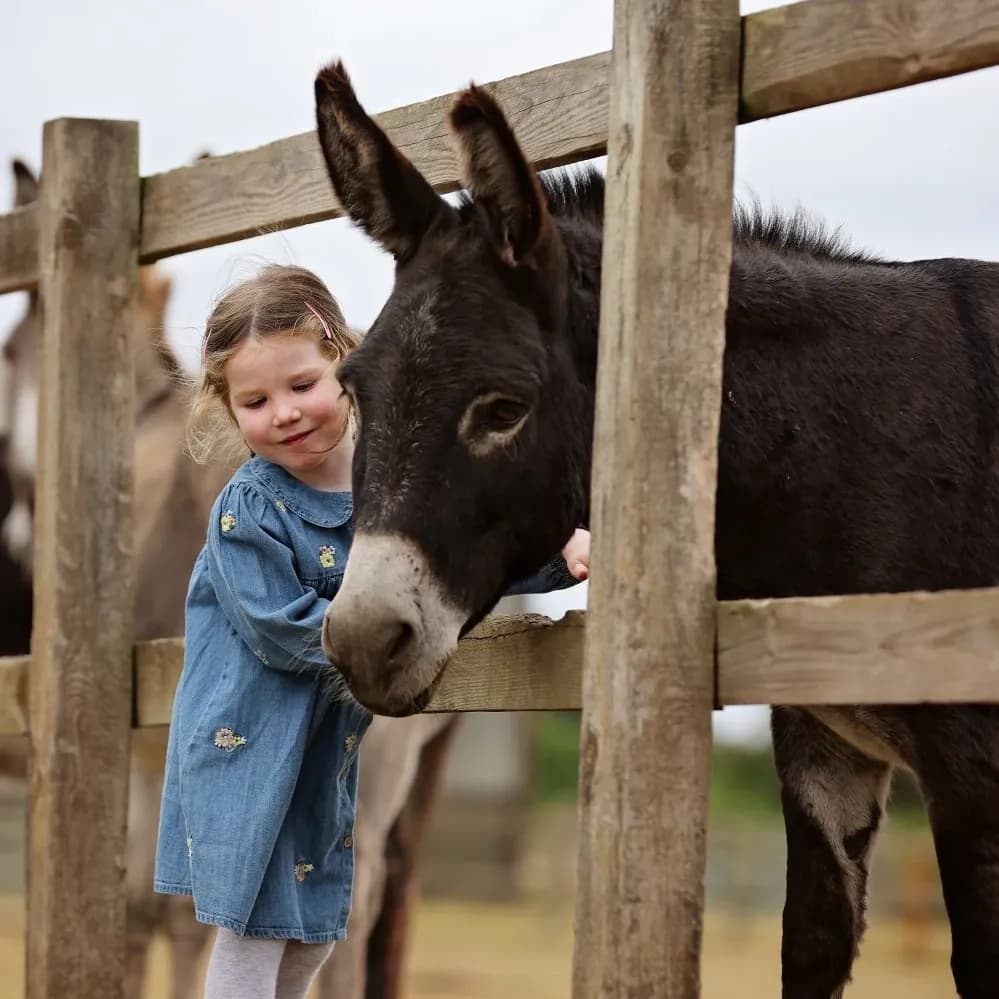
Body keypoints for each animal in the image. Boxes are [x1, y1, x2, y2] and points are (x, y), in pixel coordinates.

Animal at [310, 62, 999, 998]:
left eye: (502, 410)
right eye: (352, 390)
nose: (359, 640)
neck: (858, 438)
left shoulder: (976, 772)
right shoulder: (823, 750)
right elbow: (809, 944)